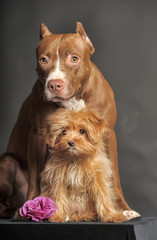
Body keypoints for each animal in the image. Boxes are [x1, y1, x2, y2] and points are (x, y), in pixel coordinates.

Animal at [0, 21, 139, 218]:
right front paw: (35, 203)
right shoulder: (38, 136)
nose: (54, 85)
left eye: (74, 59)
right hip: (7, 162)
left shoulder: (107, 134)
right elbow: (36, 177)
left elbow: (113, 177)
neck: (73, 99)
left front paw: (123, 209)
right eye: (43, 60)